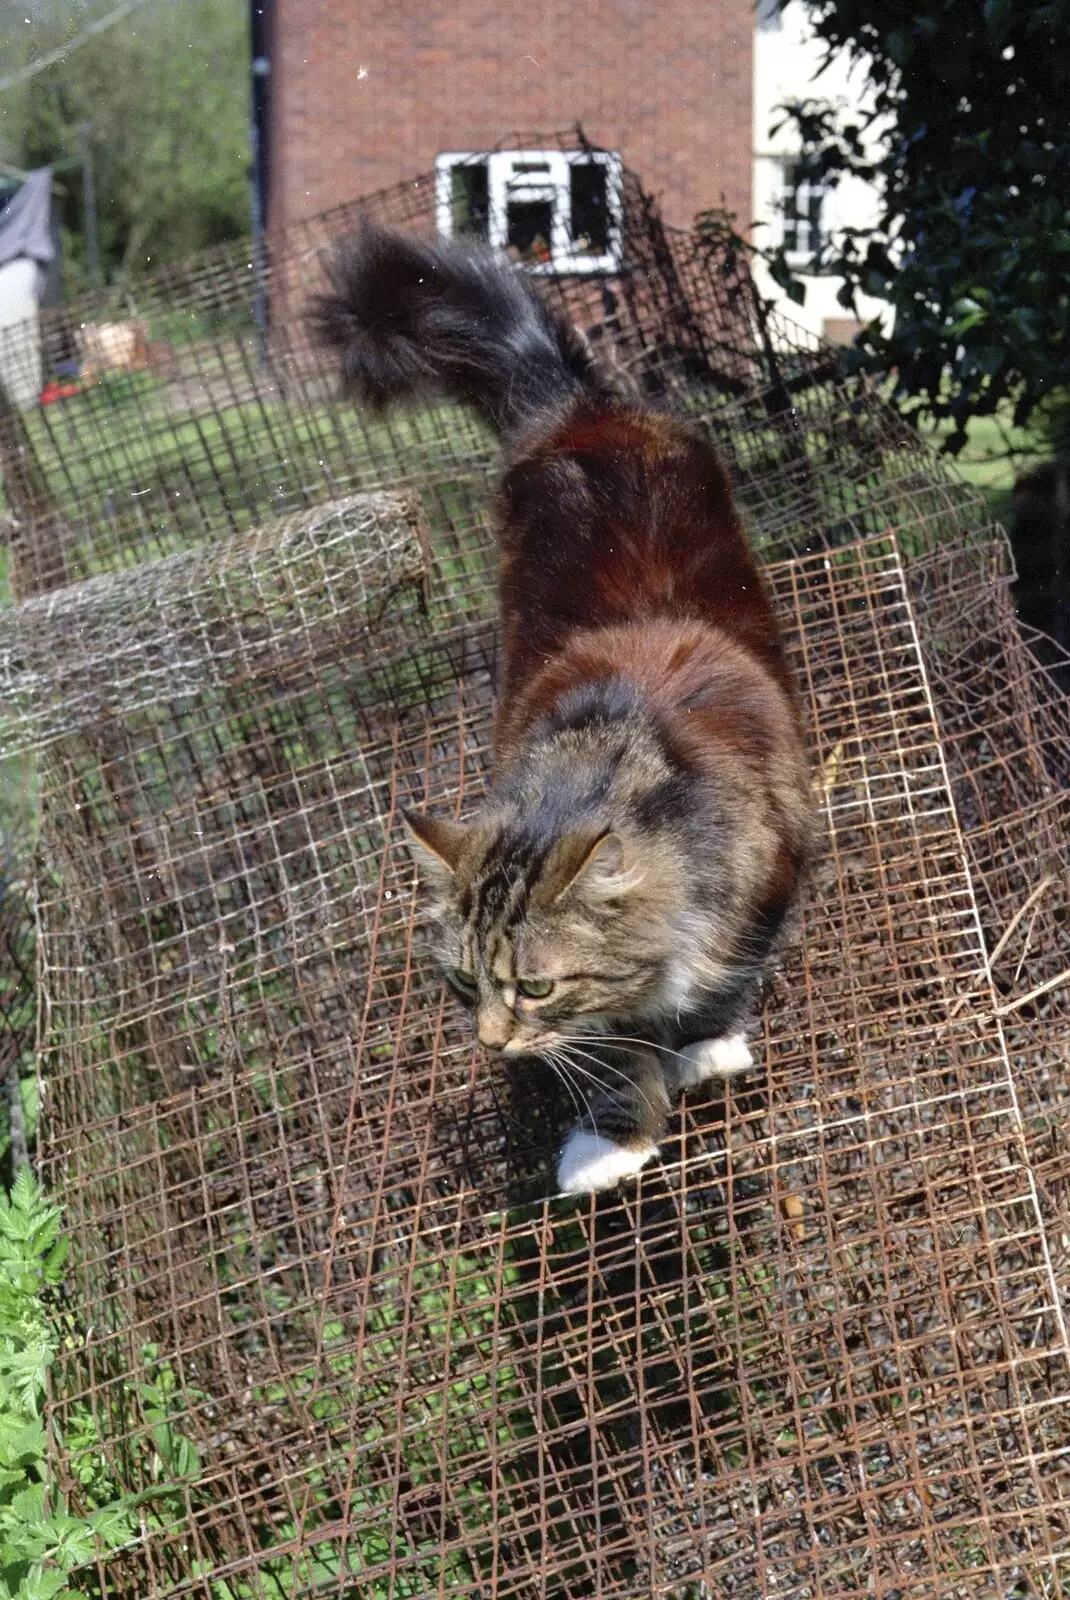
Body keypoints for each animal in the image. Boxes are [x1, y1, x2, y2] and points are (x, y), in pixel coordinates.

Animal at [308, 225, 809, 1196]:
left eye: (533, 987)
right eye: (465, 984)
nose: (493, 1046)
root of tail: (580, 408)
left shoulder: (774, 863)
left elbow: (724, 979)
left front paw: (705, 1050)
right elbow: (611, 1051)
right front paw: (612, 1138)